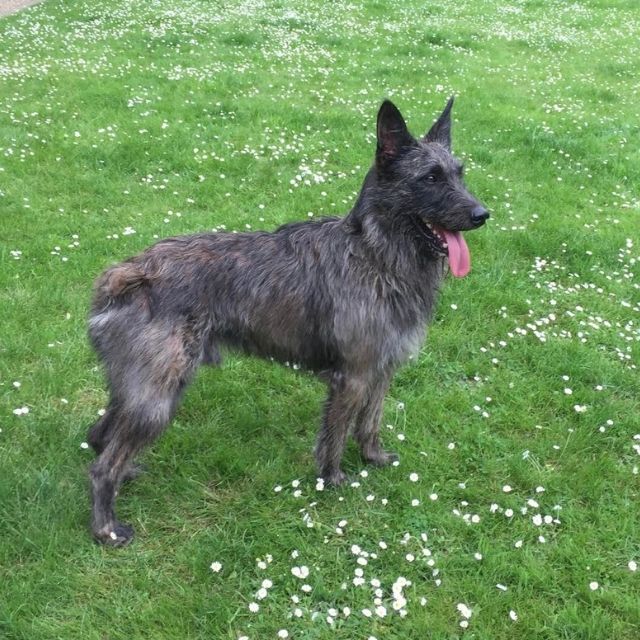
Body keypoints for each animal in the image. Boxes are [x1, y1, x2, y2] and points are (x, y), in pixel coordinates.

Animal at [87, 96, 488, 544]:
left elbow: (370, 422)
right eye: (430, 178)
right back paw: (106, 528)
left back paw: (125, 476)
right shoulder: (352, 378)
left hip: (144, 390)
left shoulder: (382, 370)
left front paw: (374, 458)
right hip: (156, 398)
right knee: (101, 464)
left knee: (99, 435)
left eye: (458, 173)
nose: (482, 214)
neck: (376, 255)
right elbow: (335, 436)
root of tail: (130, 273)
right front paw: (333, 480)